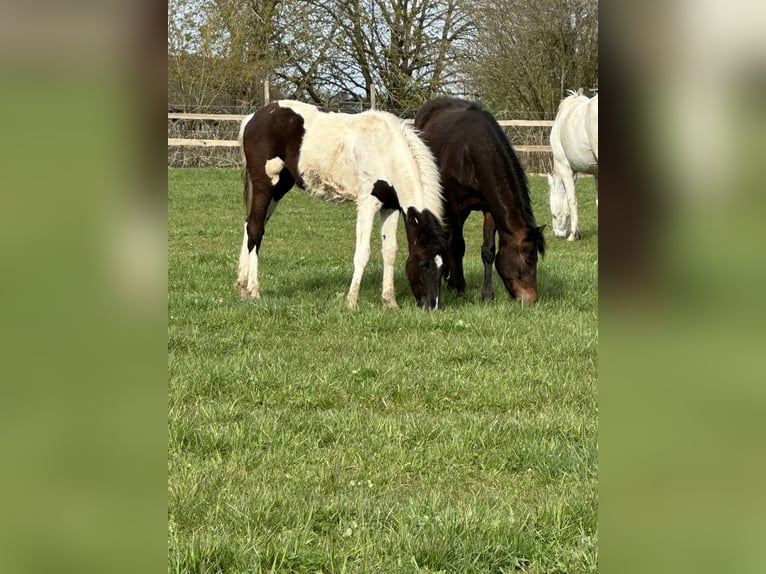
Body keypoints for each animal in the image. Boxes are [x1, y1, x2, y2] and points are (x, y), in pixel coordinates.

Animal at [236, 100, 447, 309]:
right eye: (424, 264)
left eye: (442, 267)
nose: (432, 305)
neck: (386, 150)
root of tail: (252, 118)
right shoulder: (368, 203)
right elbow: (363, 253)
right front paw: (351, 301)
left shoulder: (390, 206)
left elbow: (390, 251)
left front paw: (390, 301)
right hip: (265, 186)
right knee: (255, 229)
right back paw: (254, 290)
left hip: (279, 188)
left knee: (249, 224)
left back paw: (242, 287)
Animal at [413, 97, 546, 305]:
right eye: (528, 260)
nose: (531, 299)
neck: (473, 152)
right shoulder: (454, 205)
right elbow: (458, 246)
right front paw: (460, 289)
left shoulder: (489, 208)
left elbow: (488, 251)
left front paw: (487, 296)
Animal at [548, 90, 599, 241]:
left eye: (553, 214)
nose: (557, 234)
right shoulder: (596, 173)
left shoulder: (565, 169)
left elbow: (571, 200)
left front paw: (573, 235)